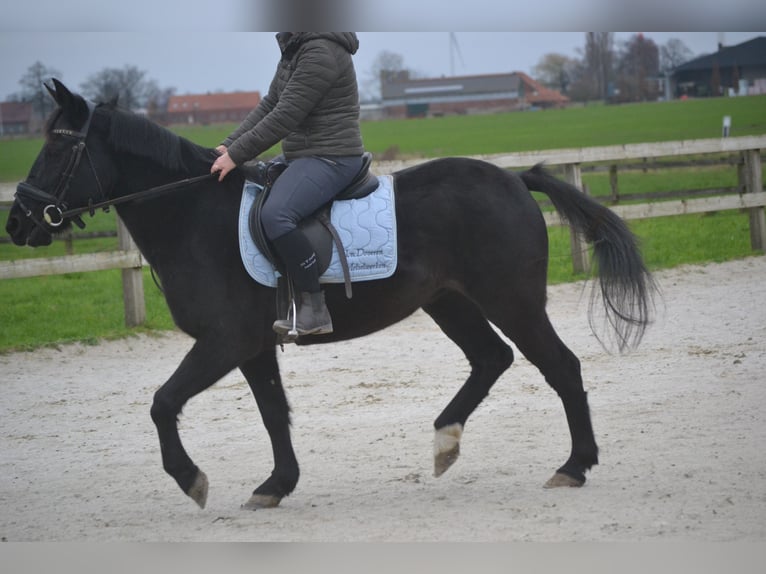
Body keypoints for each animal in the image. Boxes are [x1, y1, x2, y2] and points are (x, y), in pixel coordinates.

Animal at [3, 80, 656, 508]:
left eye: (58, 147)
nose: (18, 224)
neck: (193, 216)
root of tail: (513, 179)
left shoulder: (224, 340)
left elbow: (163, 403)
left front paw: (193, 481)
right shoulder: (253, 346)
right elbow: (273, 412)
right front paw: (276, 485)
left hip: (511, 301)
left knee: (561, 366)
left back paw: (573, 467)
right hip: (450, 302)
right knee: (491, 359)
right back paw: (445, 441)